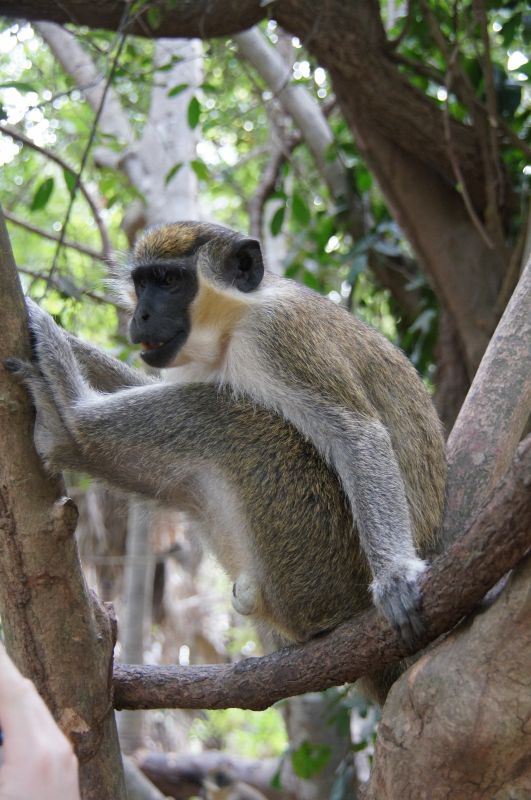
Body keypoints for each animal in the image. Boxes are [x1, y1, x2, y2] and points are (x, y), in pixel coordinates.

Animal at [5, 220, 446, 700]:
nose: (141, 317)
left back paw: (67, 425)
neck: (232, 327)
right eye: (142, 284)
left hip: (322, 564)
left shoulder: (278, 336)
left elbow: (357, 434)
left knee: (221, 417)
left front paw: (396, 577)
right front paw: (60, 335)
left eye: (169, 281)